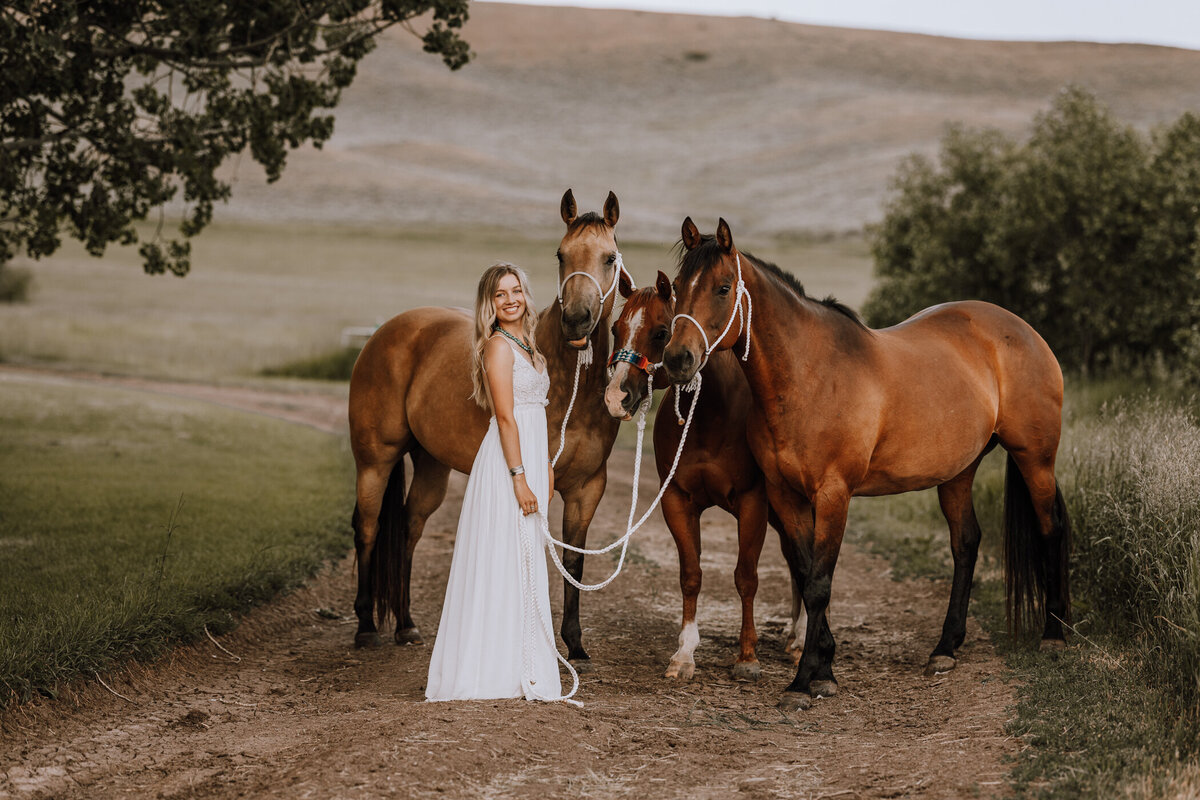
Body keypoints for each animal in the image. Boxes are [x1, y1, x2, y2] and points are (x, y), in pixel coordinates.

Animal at [348, 188, 628, 662]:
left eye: (608, 258)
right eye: (560, 254)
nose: (576, 319)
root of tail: (386, 332)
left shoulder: (588, 488)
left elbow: (574, 560)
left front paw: (575, 644)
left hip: (431, 465)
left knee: (407, 528)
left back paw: (405, 624)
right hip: (375, 461)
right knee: (368, 528)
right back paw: (366, 626)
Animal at [600, 271, 806, 681]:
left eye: (661, 332)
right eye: (616, 328)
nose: (616, 397)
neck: (713, 413)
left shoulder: (753, 502)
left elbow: (746, 577)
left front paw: (747, 657)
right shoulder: (678, 501)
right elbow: (691, 574)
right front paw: (685, 653)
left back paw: (802, 639)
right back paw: (793, 639)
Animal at [662, 215, 1075, 710]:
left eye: (723, 288)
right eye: (678, 287)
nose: (677, 359)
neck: (809, 376)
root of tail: (1022, 330)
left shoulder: (833, 494)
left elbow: (819, 583)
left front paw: (806, 681)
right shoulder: (785, 495)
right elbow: (806, 573)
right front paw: (823, 664)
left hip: (1036, 459)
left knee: (1050, 528)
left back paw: (1054, 635)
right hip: (958, 472)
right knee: (966, 544)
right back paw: (945, 648)